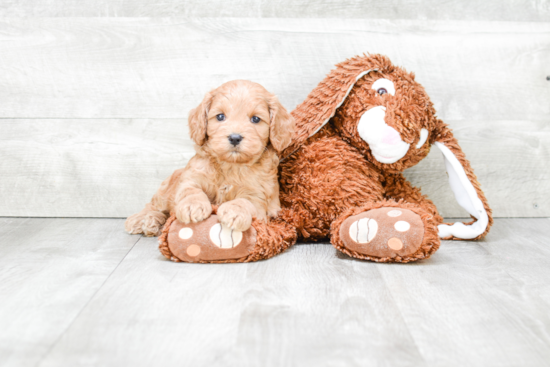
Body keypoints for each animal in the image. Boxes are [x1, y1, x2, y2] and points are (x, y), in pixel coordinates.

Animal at [126, 80, 298, 239]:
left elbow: (246, 201)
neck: (231, 165)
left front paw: (234, 212)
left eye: (255, 119)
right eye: (220, 116)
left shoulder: (258, 193)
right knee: (153, 206)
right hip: (165, 190)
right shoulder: (191, 177)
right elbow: (190, 190)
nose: (235, 137)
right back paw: (143, 220)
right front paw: (192, 206)